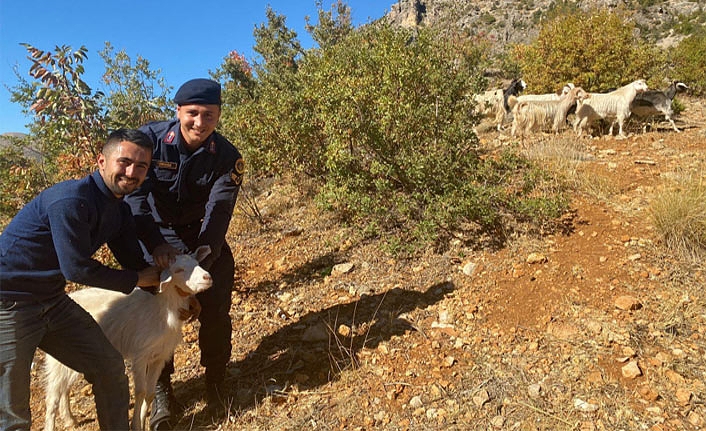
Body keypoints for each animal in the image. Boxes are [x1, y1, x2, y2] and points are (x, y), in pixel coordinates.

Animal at [43, 246, 212, 431]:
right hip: (59, 354)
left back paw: (70, 419)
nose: (207, 277)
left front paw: (144, 422)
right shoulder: (140, 353)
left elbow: (150, 394)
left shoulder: (159, 356)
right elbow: (140, 392)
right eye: (178, 270)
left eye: (197, 262)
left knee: (65, 388)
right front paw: (136, 425)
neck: (162, 308)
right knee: (52, 396)